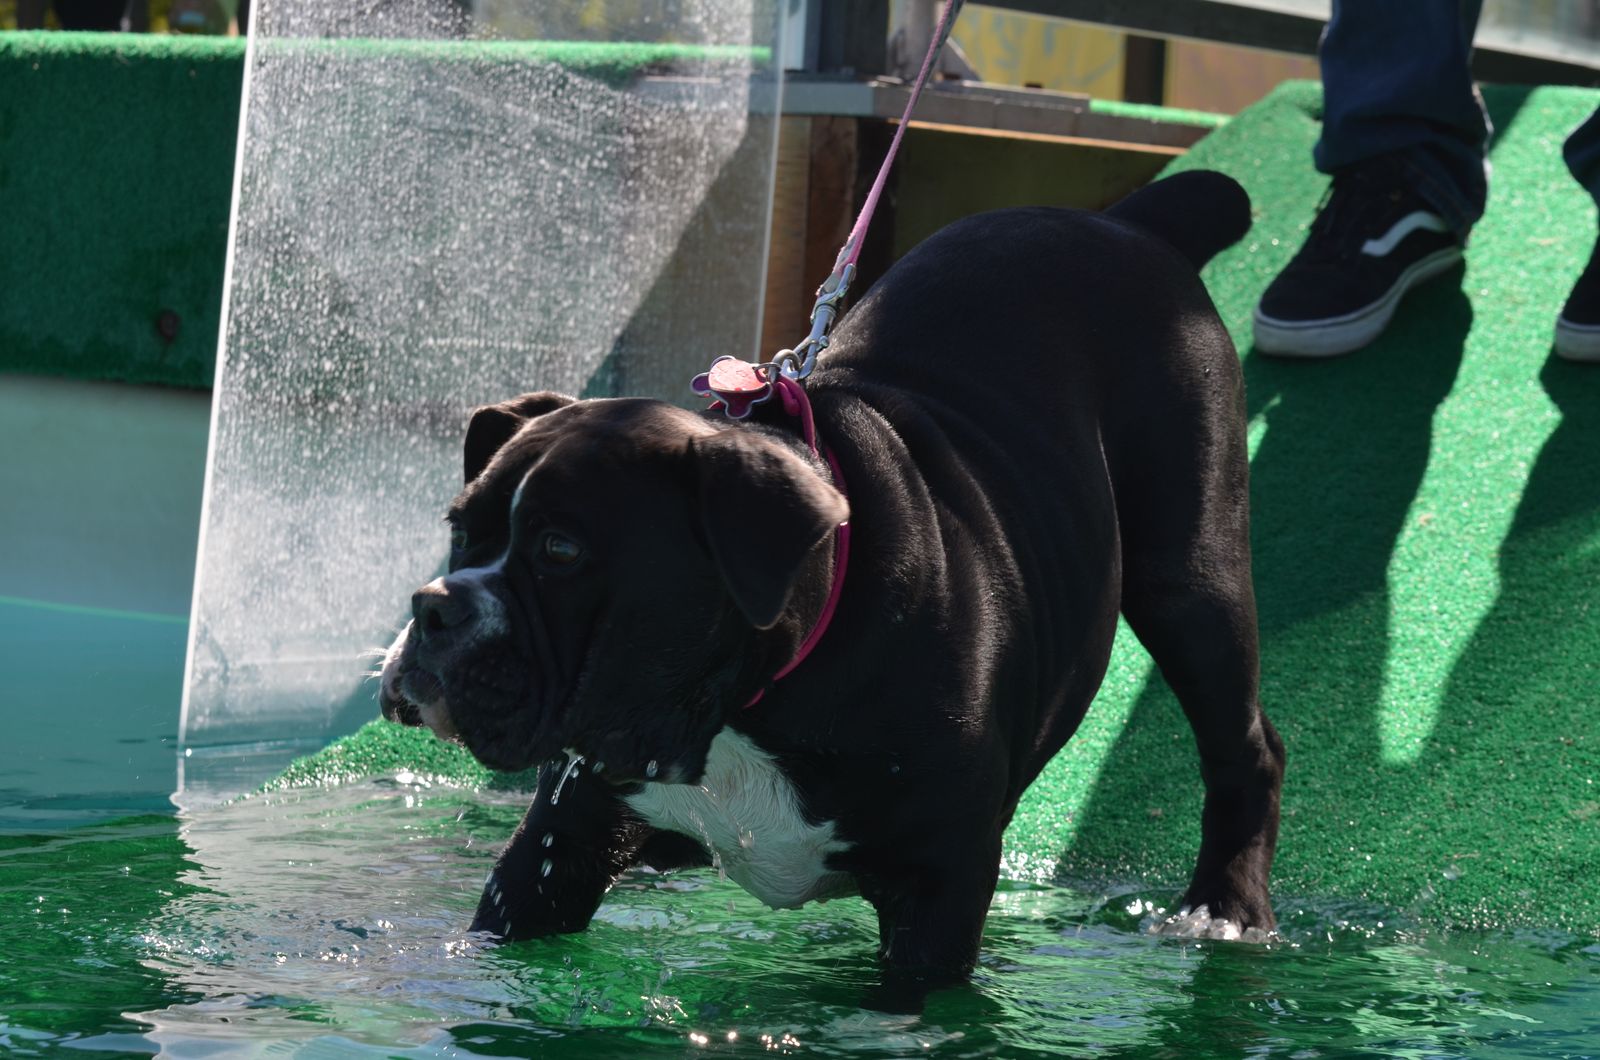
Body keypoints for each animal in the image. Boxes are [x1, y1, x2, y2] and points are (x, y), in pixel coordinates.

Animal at [379, 169, 1285, 989]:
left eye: (561, 551)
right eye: (460, 530)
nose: (435, 609)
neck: (746, 705)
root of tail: (1125, 222)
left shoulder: (936, 894)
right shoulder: (556, 850)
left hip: (1190, 581)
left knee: (1243, 743)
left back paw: (1226, 907)